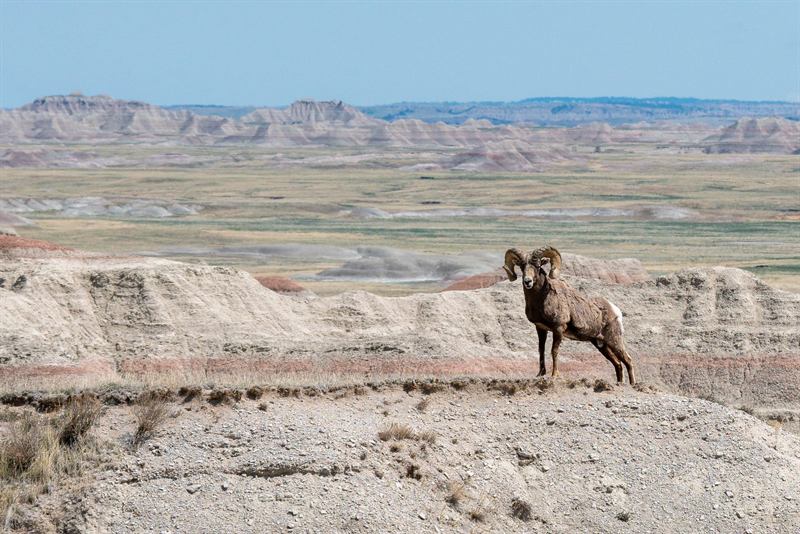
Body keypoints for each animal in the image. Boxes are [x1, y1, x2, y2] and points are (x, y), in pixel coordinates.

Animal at [503, 246, 635, 385]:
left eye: (538, 266)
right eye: (522, 266)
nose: (527, 281)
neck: (541, 300)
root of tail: (616, 311)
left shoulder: (558, 328)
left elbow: (554, 351)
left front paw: (554, 375)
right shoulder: (540, 328)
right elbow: (541, 350)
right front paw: (540, 374)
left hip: (614, 341)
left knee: (628, 360)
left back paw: (632, 384)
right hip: (602, 345)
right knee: (618, 364)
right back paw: (620, 383)